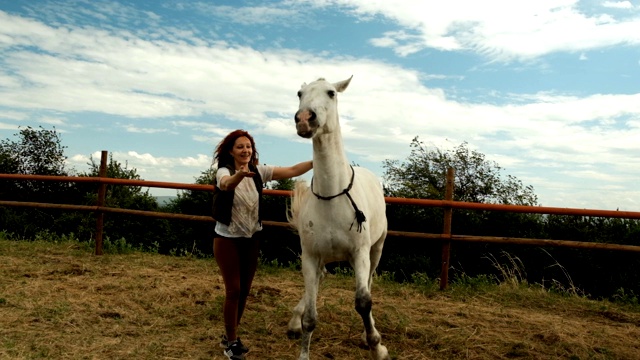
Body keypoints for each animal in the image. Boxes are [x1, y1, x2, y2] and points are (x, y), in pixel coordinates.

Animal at [288, 76, 390, 360]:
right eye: (299, 93)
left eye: (331, 93)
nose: (304, 119)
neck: (331, 197)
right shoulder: (310, 256)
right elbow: (311, 317)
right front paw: (303, 349)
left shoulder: (360, 253)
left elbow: (363, 301)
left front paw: (377, 346)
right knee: (320, 278)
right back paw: (294, 321)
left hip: (376, 250)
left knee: (369, 283)